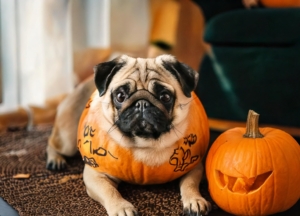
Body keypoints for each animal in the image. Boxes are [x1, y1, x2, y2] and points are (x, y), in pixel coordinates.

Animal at [46, 54, 211, 216]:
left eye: (165, 97)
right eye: (120, 96)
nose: (142, 103)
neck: (144, 142)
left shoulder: (193, 165)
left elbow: (190, 184)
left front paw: (194, 200)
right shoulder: (96, 174)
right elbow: (110, 191)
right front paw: (121, 207)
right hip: (68, 139)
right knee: (51, 143)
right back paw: (55, 160)